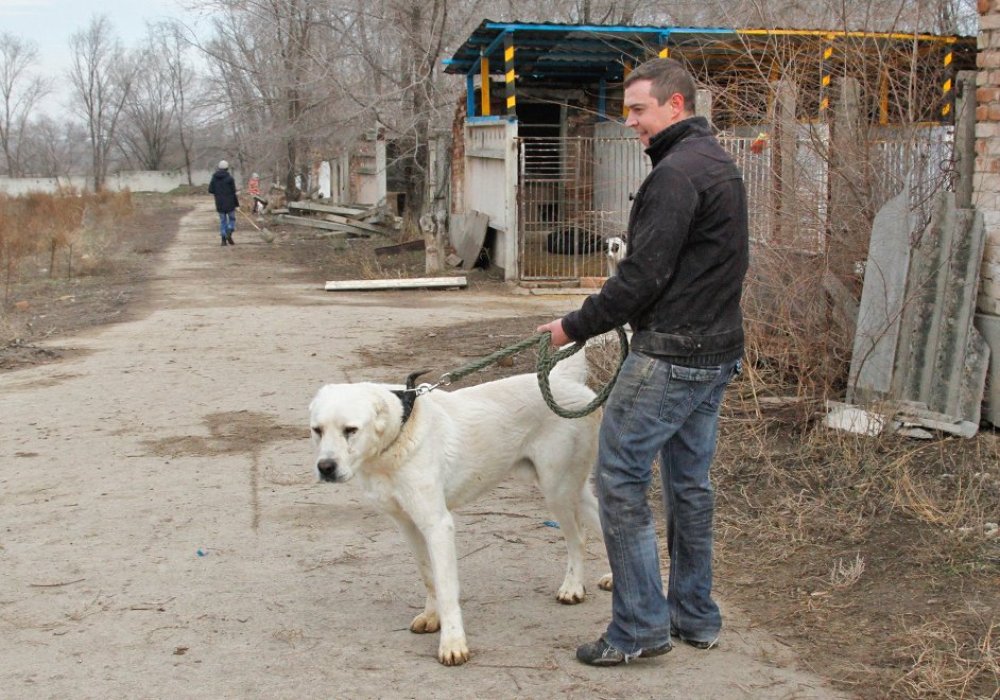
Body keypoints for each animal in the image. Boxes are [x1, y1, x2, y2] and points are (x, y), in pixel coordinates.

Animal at [308, 352, 604, 664]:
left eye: (350, 430)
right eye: (317, 431)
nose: (325, 468)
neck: (400, 431)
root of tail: (564, 379)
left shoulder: (438, 525)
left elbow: (447, 589)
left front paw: (452, 643)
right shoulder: (408, 525)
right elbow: (429, 576)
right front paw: (431, 616)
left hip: (556, 489)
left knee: (578, 537)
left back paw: (573, 587)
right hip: (571, 488)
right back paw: (610, 579)